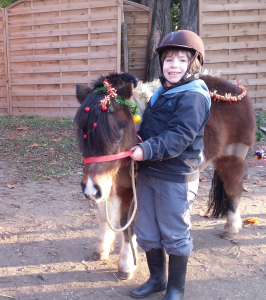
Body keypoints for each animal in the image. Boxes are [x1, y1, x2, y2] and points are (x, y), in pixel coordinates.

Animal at [74, 71, 256, 280]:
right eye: (82, 133)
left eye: (118, 133)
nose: (89, 189)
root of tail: (237, 91)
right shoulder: (109, 185)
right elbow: (105, 215)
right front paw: (102, 248)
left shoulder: (131, 191)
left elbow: (127, 226)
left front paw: (126, 265)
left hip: (233, 157)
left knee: (233, 191)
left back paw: (231, 228)